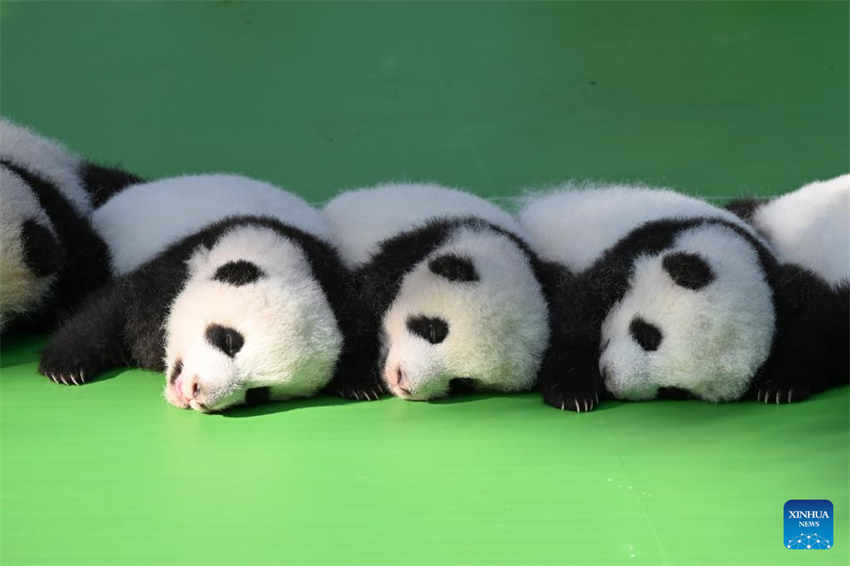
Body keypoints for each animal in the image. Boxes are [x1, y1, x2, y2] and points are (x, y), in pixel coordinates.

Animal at [38, 174, 376, 412]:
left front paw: (360, 382)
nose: (196, 393)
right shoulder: (181, 261)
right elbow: (113, 307)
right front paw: (64, 366)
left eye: (258, 393)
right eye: (229, 340)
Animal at [518, 182, 849, 411]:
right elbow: (575, 316)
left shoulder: (776, 279)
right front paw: (572, 393)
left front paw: (779, 386)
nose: (611, 378)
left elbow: (811, 325)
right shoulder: (628, 255)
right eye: (647, 334)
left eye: (673, 391)